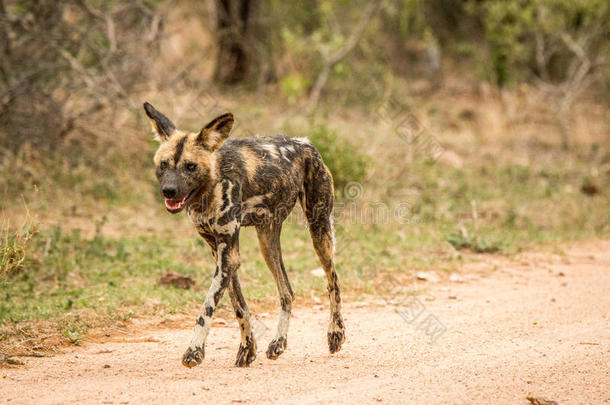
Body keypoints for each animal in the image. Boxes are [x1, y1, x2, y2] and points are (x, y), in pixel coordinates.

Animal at [141, 101, 342, 366]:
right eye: (164, 164)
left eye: (191, 166)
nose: (169, 191)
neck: (208, 189)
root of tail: (306, 143)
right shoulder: (221, 253)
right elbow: (239, 306)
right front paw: (248, 348)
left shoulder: (228, 256)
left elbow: (206, 308)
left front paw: (194, 350)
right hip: (267, 242)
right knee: (287, 292)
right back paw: (278, 343)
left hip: (319, 231)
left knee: (333, 282)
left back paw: (335, 333)